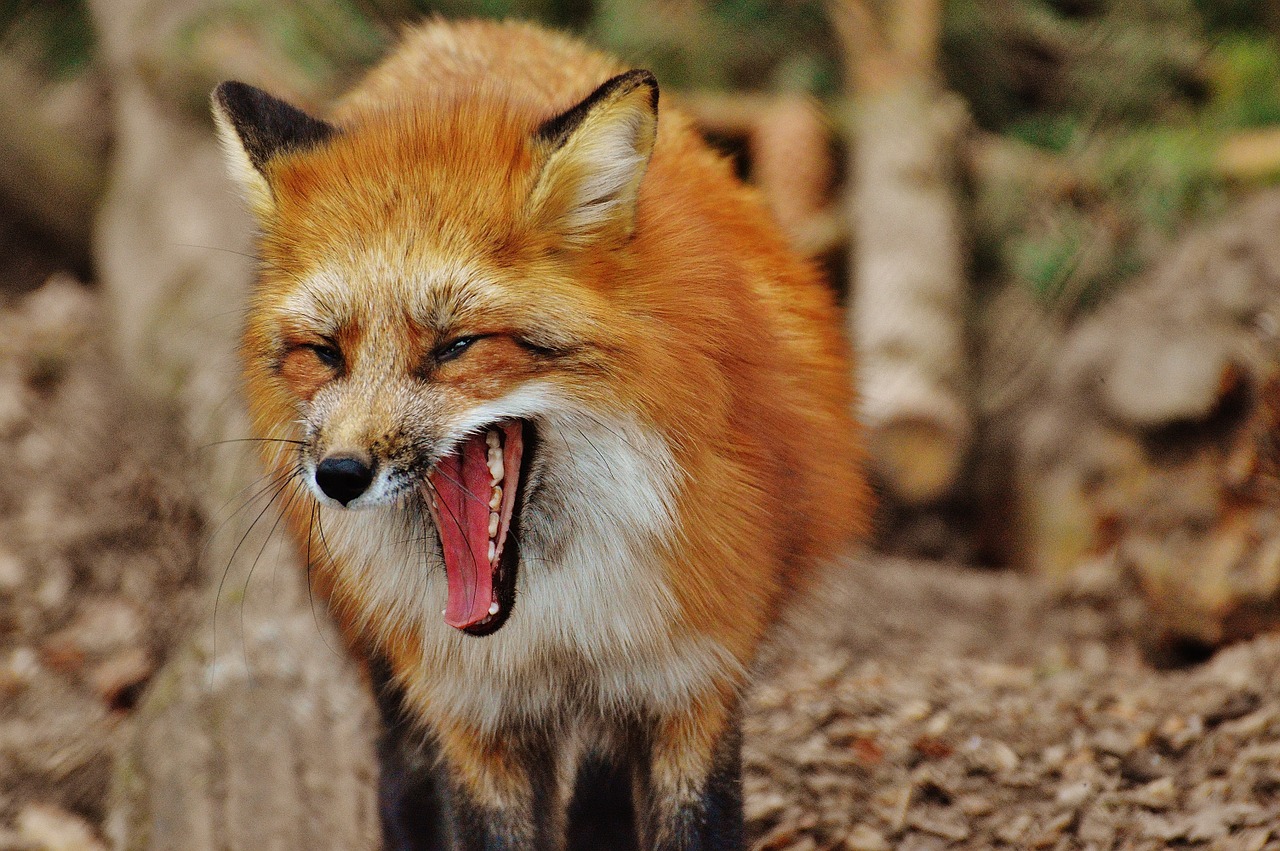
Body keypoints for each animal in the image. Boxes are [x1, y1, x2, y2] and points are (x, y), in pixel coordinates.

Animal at [212, 16, 870, 849]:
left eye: (456, 346)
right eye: (326, 353)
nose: (338, 475)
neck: (557, 622)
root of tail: (454, 32)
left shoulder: (692, 684)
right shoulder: (471, 714)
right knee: (401, 779)